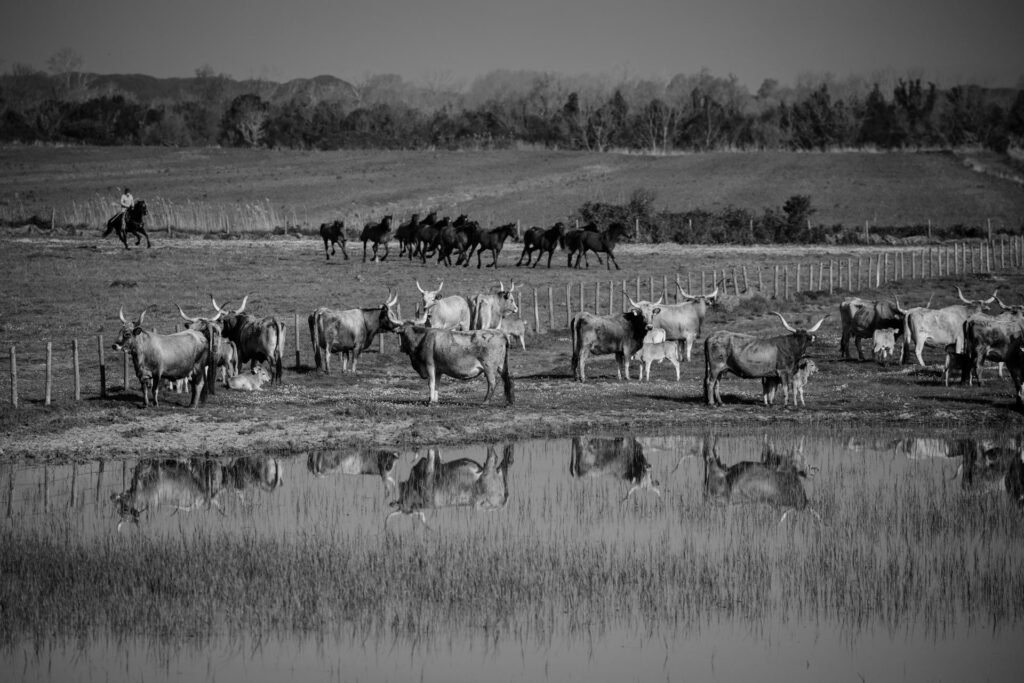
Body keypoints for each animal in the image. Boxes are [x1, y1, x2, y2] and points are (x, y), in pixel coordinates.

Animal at [380, 309, 516, 405]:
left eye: (403, 333)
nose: (401, 348)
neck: (422, 339)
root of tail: (500, 333)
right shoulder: (438, 369)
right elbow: (437, 384)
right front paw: (434, 400)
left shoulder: (429, 365)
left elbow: (431, 383)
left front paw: (430, 401)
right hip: (501, 366)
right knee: (507, 380)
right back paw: (510, 401)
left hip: (489, 367)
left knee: (492, 382)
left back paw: (485, 402)